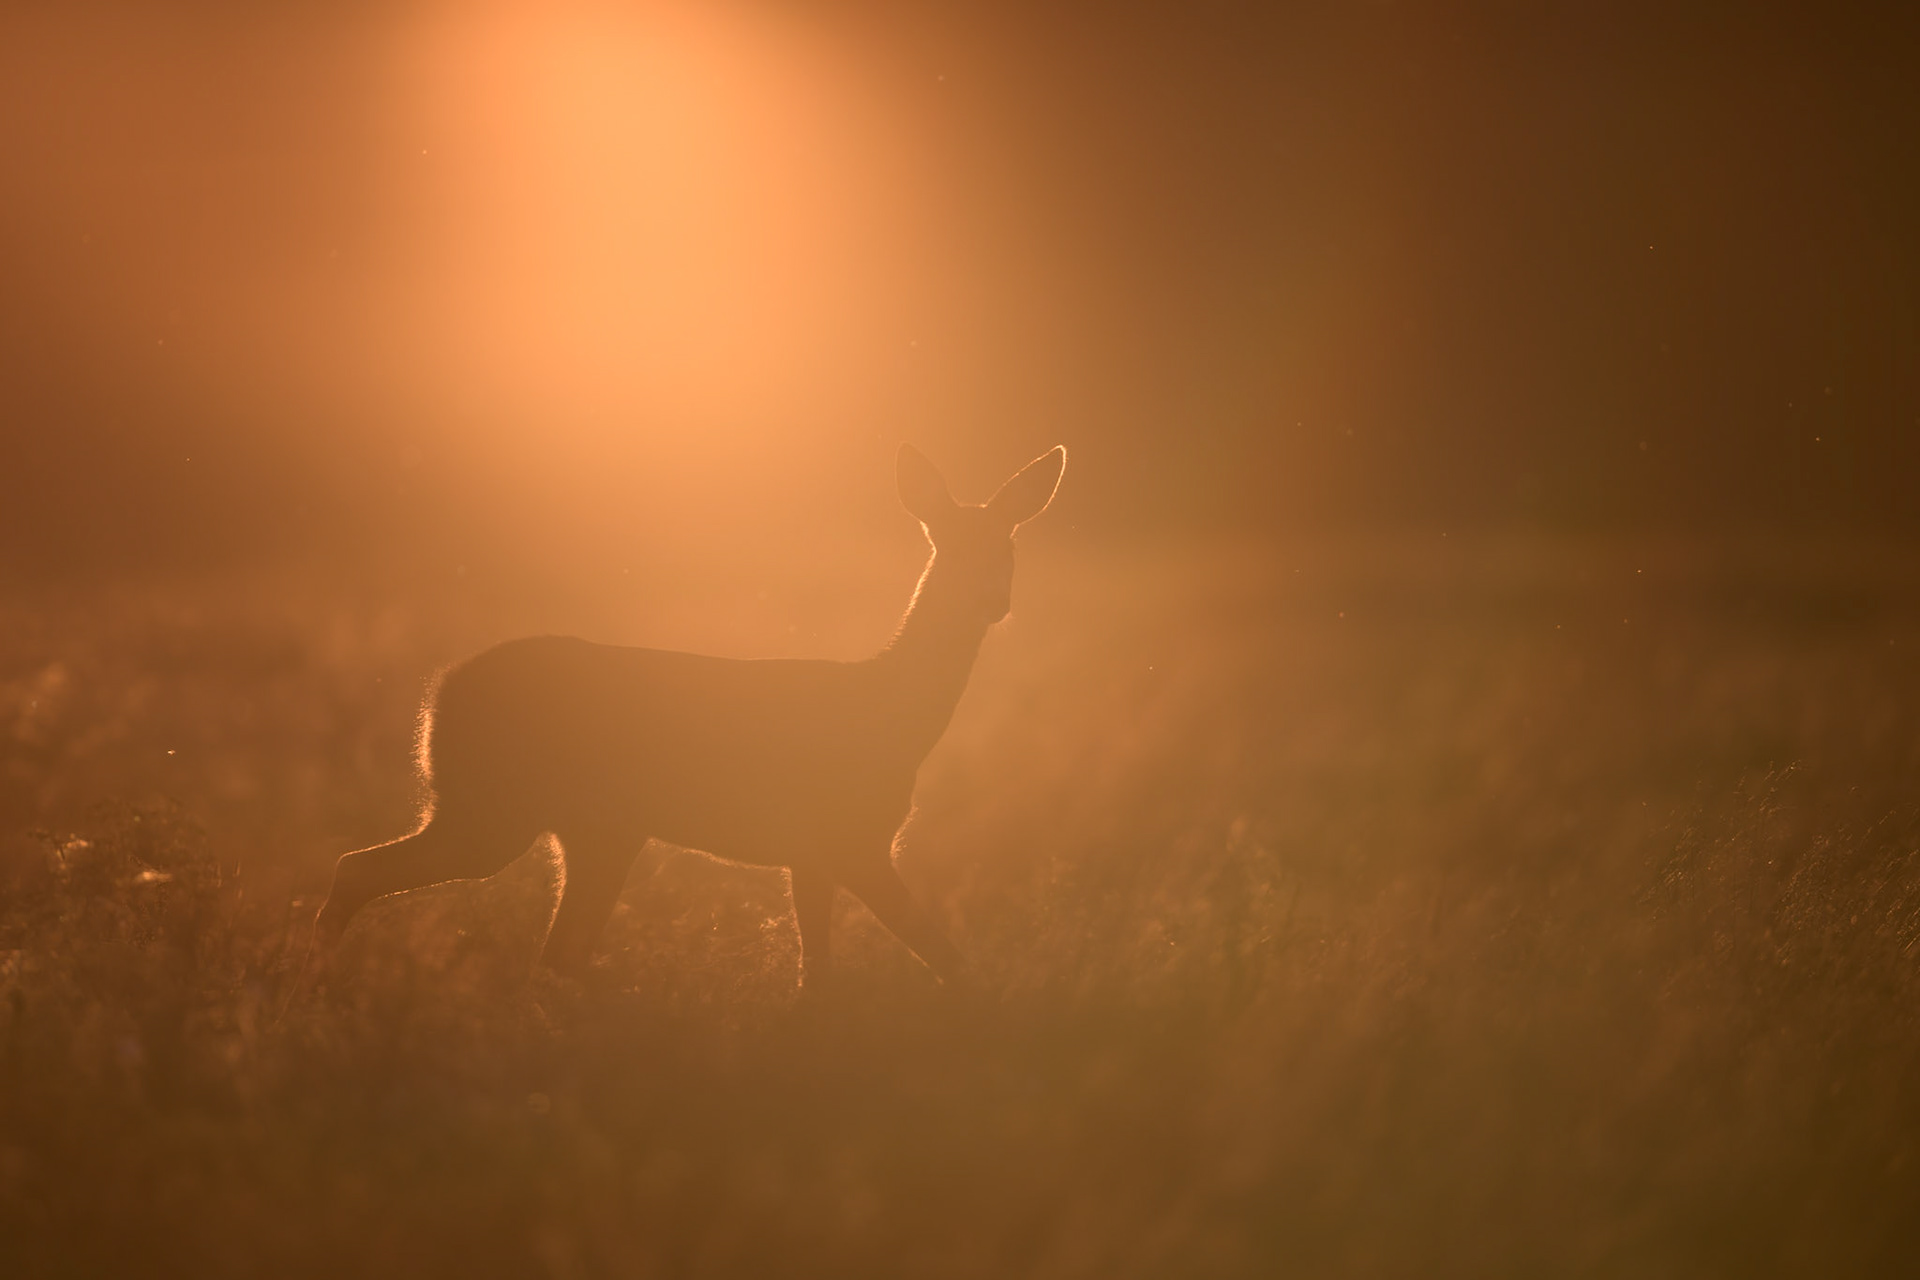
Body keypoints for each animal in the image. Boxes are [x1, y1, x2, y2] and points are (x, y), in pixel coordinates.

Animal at [308, 444, 1066, 993]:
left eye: (1008, 548)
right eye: (948, 545)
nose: (992, 601)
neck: (893, 715)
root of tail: (438, 694)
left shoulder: (811, 853)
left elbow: (820, 974)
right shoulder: (849, 838)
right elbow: (942, 954)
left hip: (588, 829)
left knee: (551, 952)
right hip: (496, 809)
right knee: (359, 869)